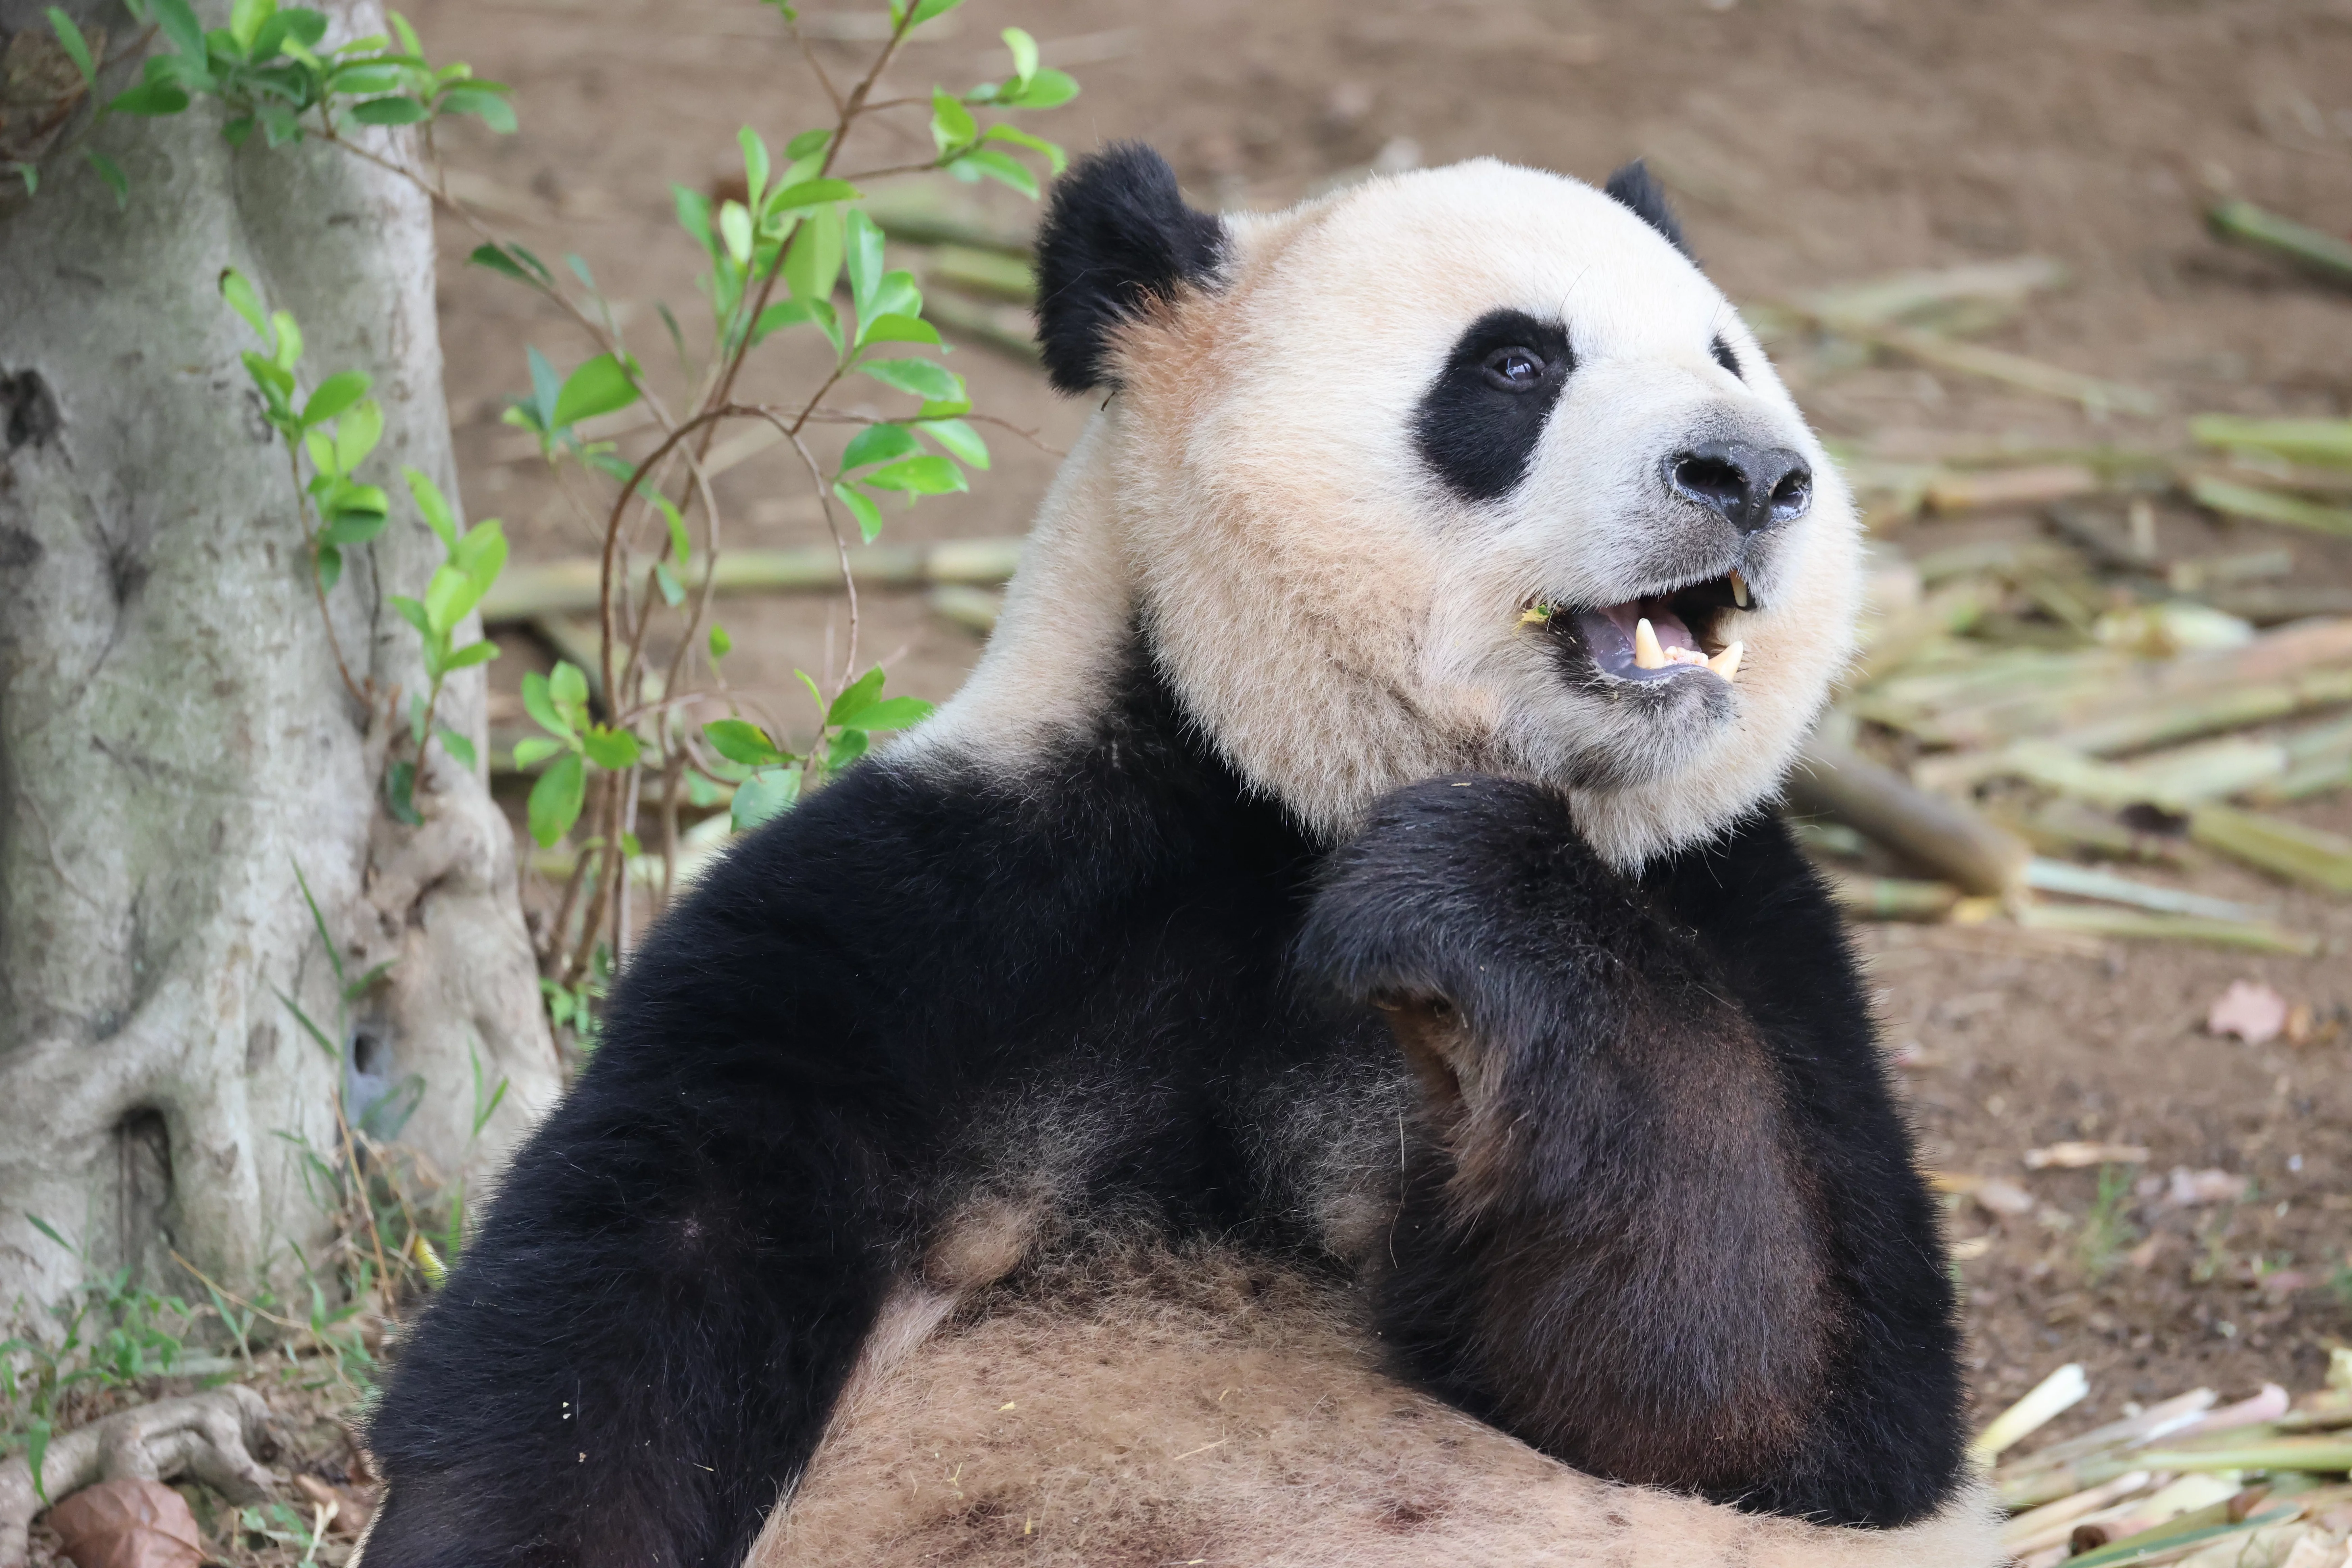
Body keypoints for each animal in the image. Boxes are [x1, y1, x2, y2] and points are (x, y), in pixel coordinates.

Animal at [360, 145, 1997, 1568]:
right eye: (1516, 365)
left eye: (1726, 355)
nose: (1751, 474)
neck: (1286, 807)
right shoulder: (931, 900)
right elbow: (631, 1304)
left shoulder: (1739, 915)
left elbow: (1773, 1396)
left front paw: (1458, 901)